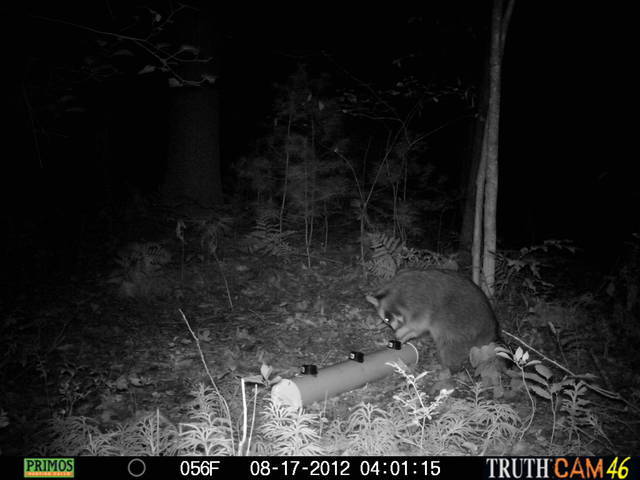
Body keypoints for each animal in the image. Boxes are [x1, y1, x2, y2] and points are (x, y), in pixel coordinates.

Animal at [366, 269, 500, 370]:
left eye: (388, 318)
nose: (393, 329)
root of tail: (491, 329)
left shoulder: (422, 305)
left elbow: (420, 324)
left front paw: (405, 331)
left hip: (462, 323)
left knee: (448, 344)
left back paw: (448, 368)